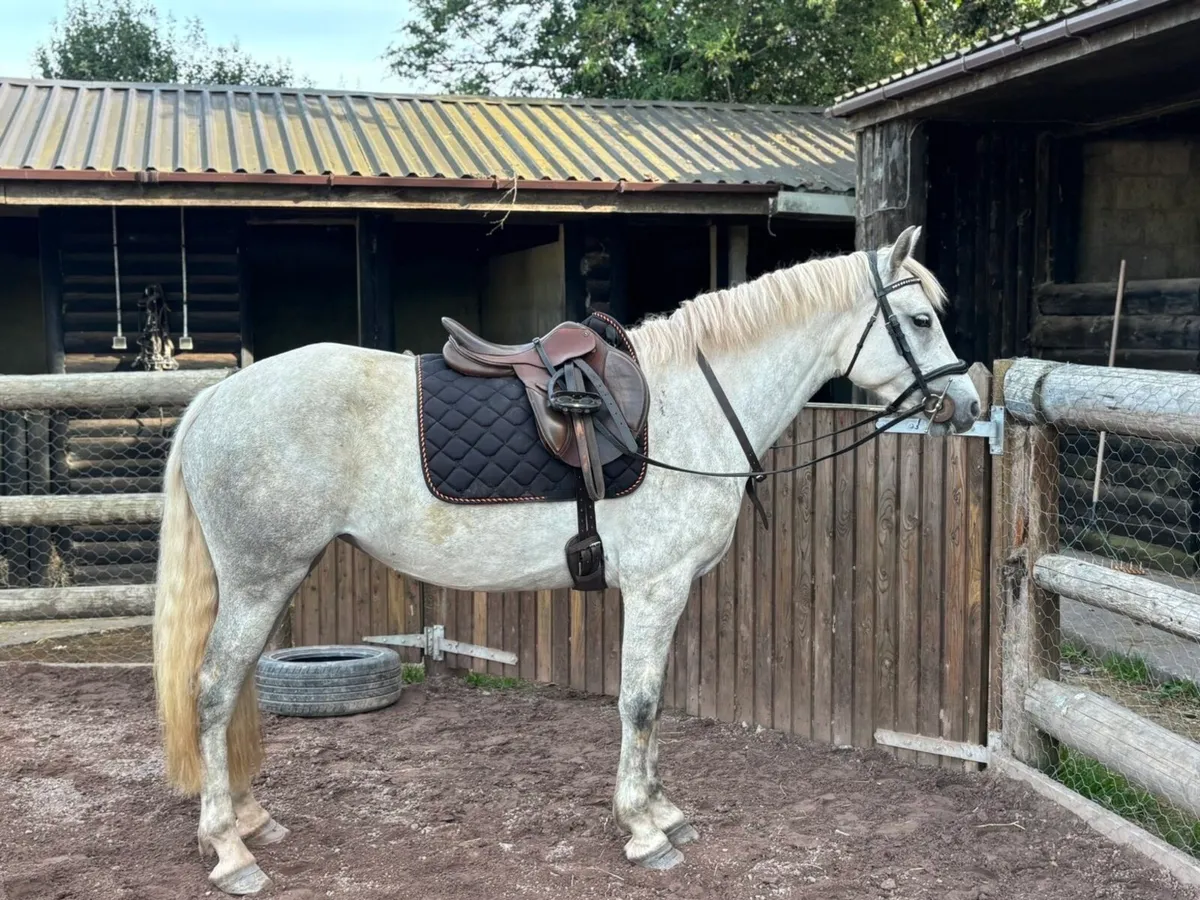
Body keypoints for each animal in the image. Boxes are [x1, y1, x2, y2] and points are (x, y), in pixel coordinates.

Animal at [151, 224, 980, 894]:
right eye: (919, 320)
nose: (969, 407)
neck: (689, 405)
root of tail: (216, 397)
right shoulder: (656, 587)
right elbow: (638, 702)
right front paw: (643, 830)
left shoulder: (664, 592)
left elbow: (654, 701)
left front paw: (663, 810)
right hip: (261, 580)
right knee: (215, 692)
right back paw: (229, 850)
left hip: (268, 582)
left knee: (235, 692)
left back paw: (251, 819)